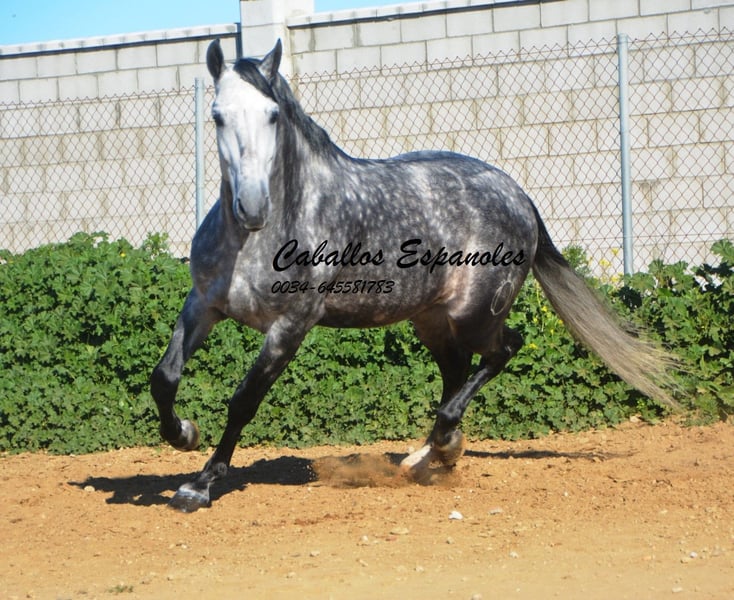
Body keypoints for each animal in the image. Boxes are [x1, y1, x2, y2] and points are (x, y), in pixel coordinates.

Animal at [150, 39, 677, 512]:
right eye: (217, 115)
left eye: (273, 115)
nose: (253, 207)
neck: (264, 238)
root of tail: (517, 193)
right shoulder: (204, 304)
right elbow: (165, 377)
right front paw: (185, 435)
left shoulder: (290, 327)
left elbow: (243, 400)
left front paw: (199, 486)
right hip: (430, 318)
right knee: (457, 369)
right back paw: (430, 456)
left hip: (475, 313)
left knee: (503, 350)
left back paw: (444, 442)